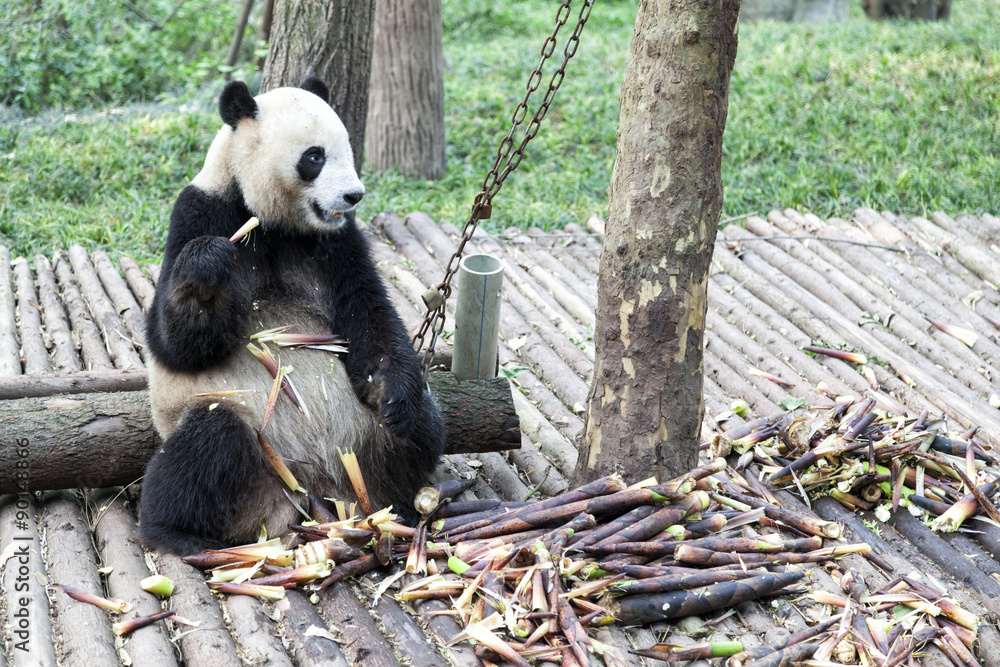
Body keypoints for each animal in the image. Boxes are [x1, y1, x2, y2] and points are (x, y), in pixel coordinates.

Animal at [140, 77, 446, 555]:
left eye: (348, 150)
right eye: (314, 157)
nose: (353, 195)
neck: (276, 223)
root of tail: (316, 491)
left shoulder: (339, 243)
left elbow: (368, 315)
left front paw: (392, 392)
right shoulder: (200, 211)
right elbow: (176, 346)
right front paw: (207, 265)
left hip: (362, 441)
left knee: (421, 429)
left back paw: (403, 499)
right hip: (254, 450)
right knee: (208, 444)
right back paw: (173, 529)